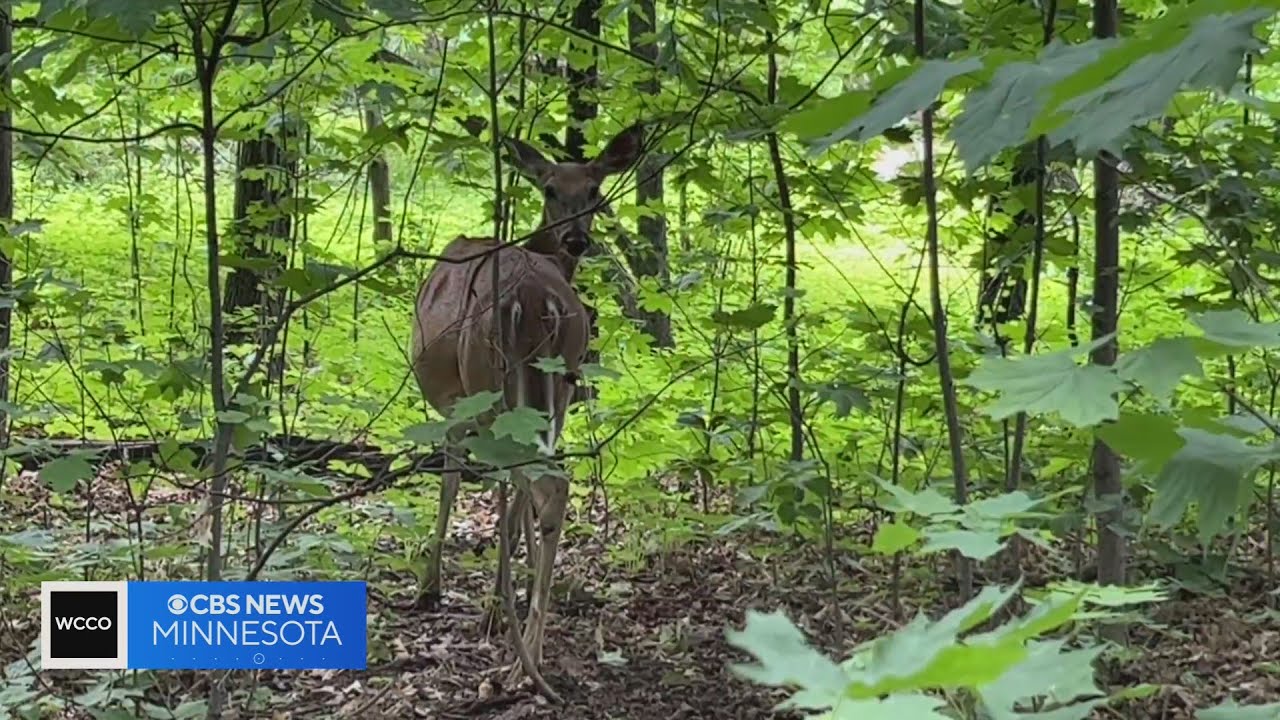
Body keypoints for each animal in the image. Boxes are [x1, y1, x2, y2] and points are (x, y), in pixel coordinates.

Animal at [409, 122, 643, 685]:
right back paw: (528, 641)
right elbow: (510, 505)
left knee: (545, 484)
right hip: (561, 381)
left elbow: (453, 485)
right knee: (546, 482)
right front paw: (505, 595)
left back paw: (525, 660)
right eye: (551, 189)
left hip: (491, 380)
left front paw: (436, 588)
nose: (577, 240)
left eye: (596, 191)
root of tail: (538, 299)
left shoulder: (457, 409)